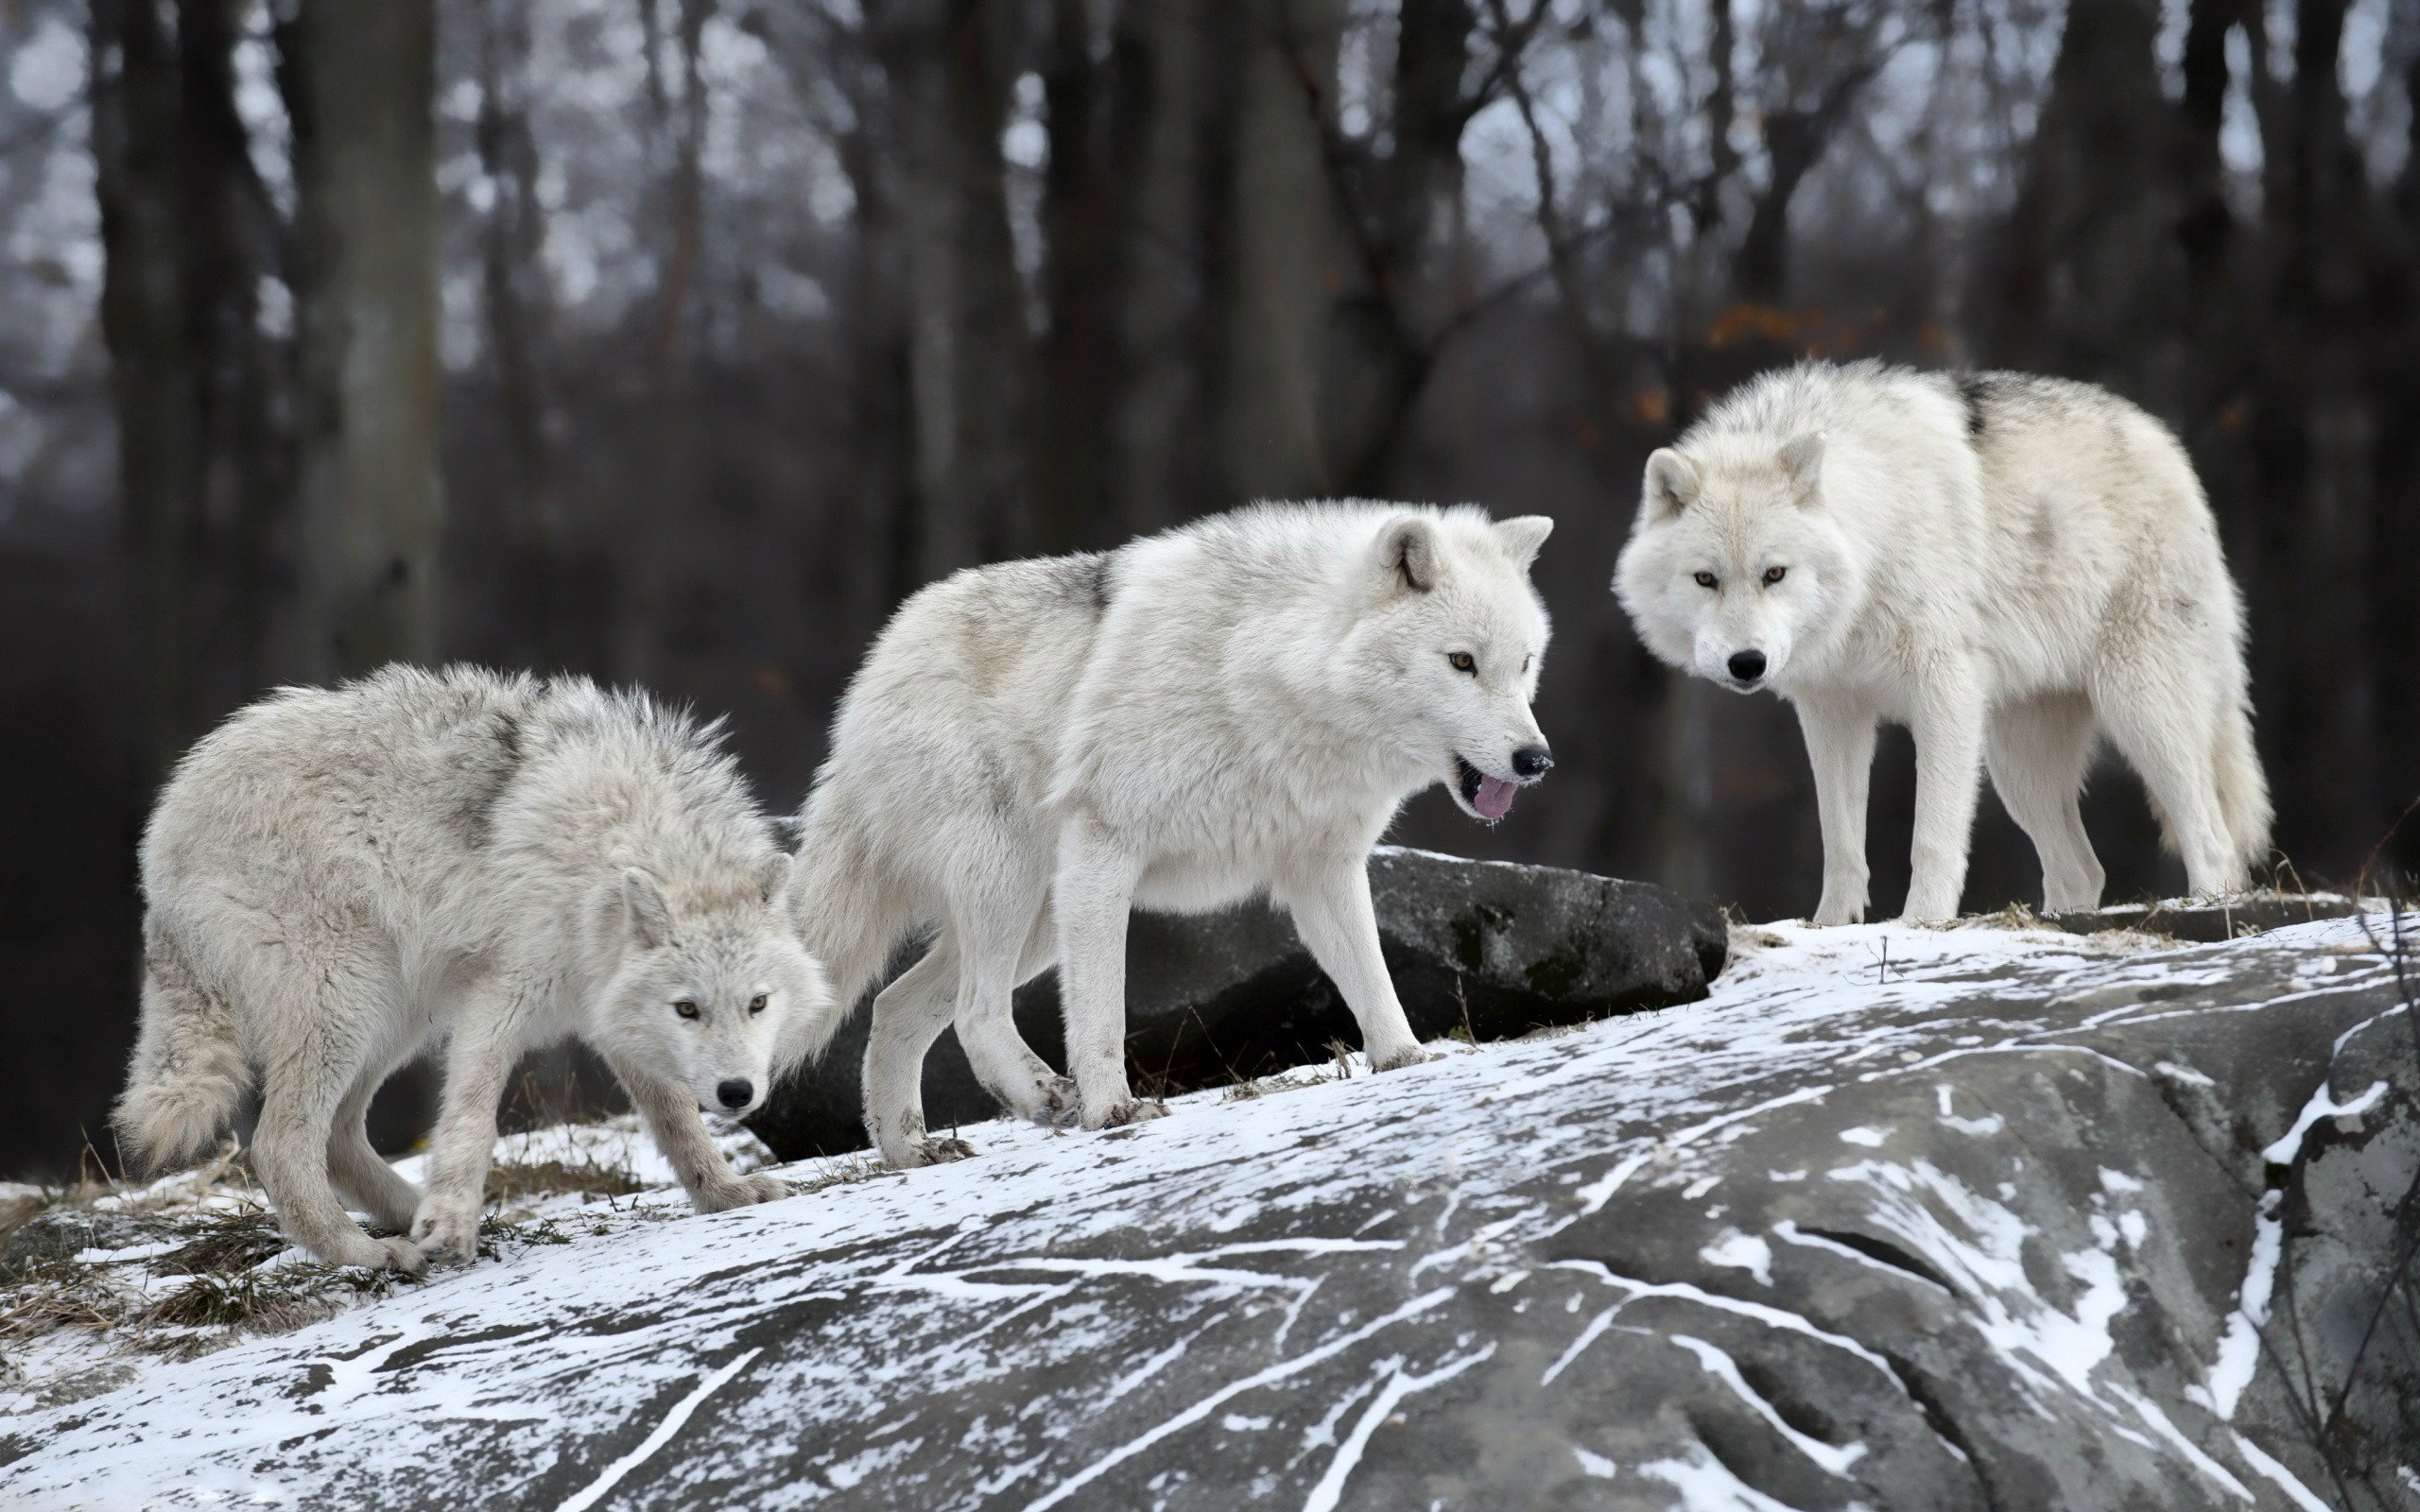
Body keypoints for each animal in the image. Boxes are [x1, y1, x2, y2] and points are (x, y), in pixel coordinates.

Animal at [115, 665, 834, 1271]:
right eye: (688, 1009)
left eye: (758, 1004)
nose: (738, 1093)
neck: (607, 847)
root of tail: (162, 830)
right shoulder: (501, 994)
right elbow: (472, 1116)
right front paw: (451, 1221)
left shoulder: (609, 1012)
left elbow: (676, 1119)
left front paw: (724, 1193)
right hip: (350, 1003)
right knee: (280, 1147)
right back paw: (367, 1252)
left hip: (395, 1015)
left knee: (339, 1139)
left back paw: (416, 1218)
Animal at [789, 502, 1557, 1167]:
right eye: (1462, 662)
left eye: (1523, 664)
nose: (1536, 760)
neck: (1267, 673)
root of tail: (875, 667)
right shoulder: (1105, 849)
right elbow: (1101, 1012)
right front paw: (1113, 1113)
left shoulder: (1323, 870)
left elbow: (1372, 979)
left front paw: (1405, 1062)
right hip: (1013, 885)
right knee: (976, 1012)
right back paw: (1042, 1098)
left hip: (1039, 917)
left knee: (893, 1006)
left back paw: (910, 1152)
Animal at [1614, 360, 2269, 924]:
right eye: (1706, 579)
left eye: (1774, 573)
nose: (1747, 663)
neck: (1874, 538)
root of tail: (2166, 443)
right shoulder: (1832, 712)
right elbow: (1841, 844)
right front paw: (1830, 927)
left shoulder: (1944, 692)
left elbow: (1930, 836)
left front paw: (1921, 923)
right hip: (2017, 765)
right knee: (2083, 870)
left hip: (2139, 711)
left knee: (2213, 839)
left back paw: (2208, 908)